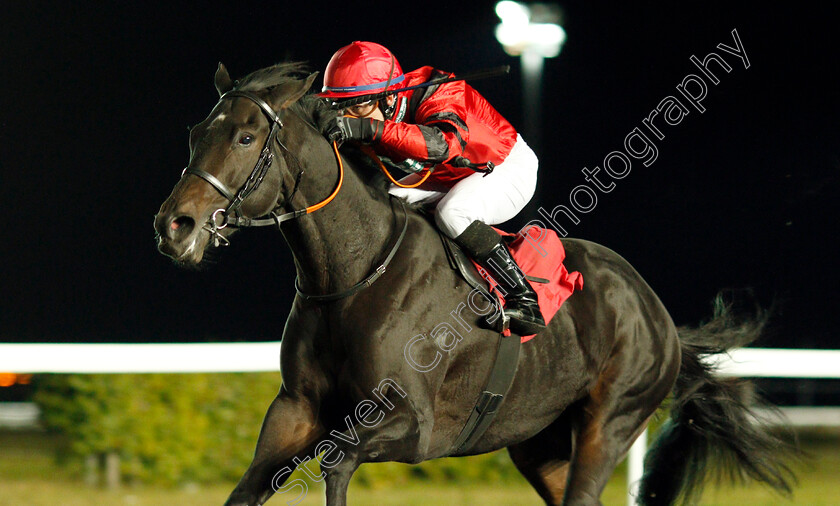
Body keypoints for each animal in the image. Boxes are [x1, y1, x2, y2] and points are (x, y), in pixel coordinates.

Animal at [154, 61, 796, 504]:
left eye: (244, 138)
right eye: (194, 132)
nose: (173, 225)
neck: (353, 275)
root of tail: (658, 313)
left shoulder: (414, 425)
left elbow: (337, 467)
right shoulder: (295, 411)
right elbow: (247, 488)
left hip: (610, 422)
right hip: (539, 442)